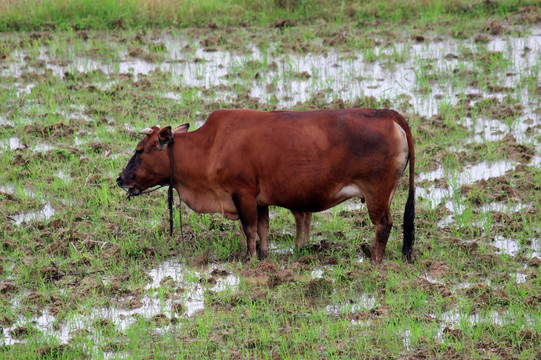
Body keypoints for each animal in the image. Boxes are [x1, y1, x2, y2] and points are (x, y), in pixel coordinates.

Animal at [117, 108, 414, 262]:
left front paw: (249, 258)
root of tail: (386, 113)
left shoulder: (243, 194)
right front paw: (264, 255)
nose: (120, 179)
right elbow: (263, 231)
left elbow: (249, 231)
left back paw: (375, 260)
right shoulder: (260, 201)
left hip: (376, 194)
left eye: (140, 150)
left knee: (383, 225)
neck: (210, 146)